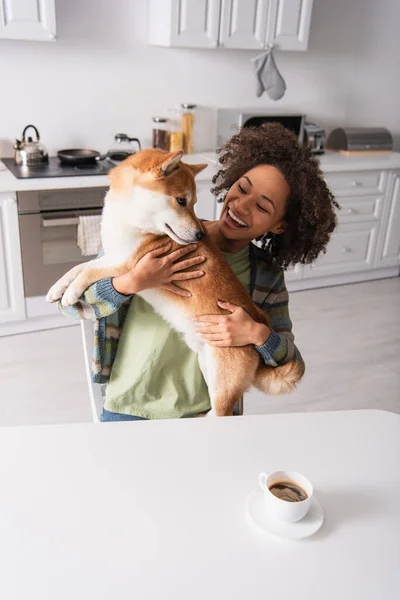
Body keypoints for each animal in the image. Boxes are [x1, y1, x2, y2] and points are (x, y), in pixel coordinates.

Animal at [47, 148, 302, 414]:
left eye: (194, 203)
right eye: (182, 201)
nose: (200, 234)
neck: (131, 222)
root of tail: (259, 324)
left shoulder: (127, 264)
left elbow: (86, 273)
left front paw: (71, 293)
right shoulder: (114, 256)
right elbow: (79, 267)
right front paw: (57, 289)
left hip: (222, 376)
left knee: (221, 412)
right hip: (208, 366)